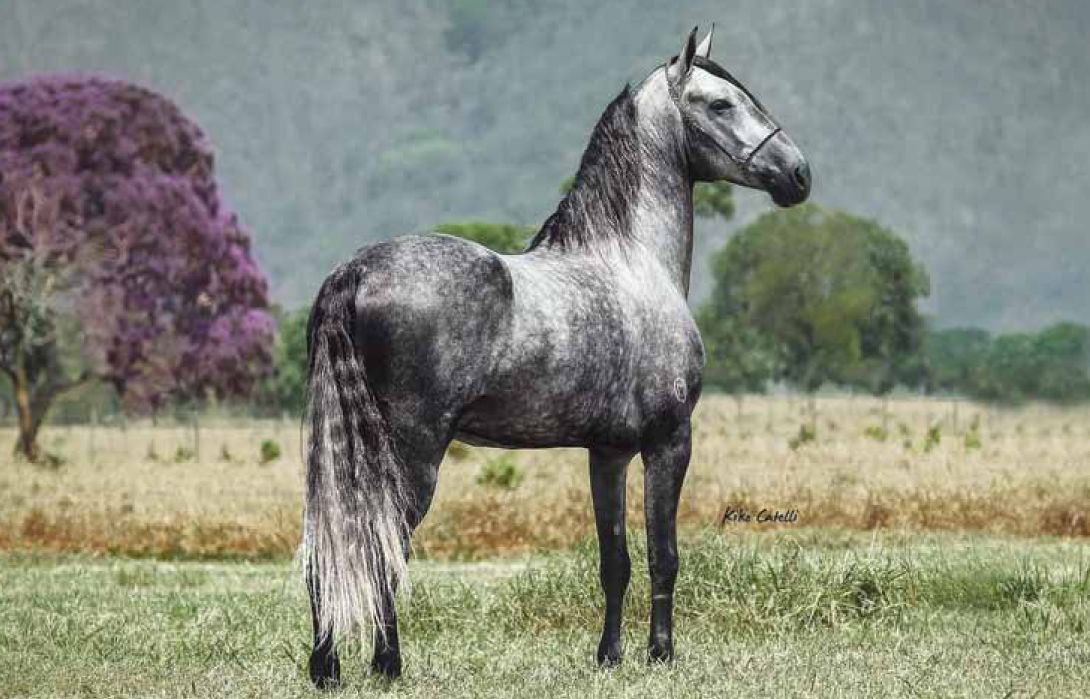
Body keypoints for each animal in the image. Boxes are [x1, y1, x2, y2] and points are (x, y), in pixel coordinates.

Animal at [302, 25, 811, 687]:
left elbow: (615, 559)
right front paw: (661, 653)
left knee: (328, 544)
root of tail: (356, 270)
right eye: (720, 104)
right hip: (412, 454)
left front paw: (610, 655)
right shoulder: (670, 440)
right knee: (380, 545)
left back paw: (327, 667)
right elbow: (664, 554)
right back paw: (386, 664)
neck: (631, 260)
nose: (798, 174)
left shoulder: (608, 453)